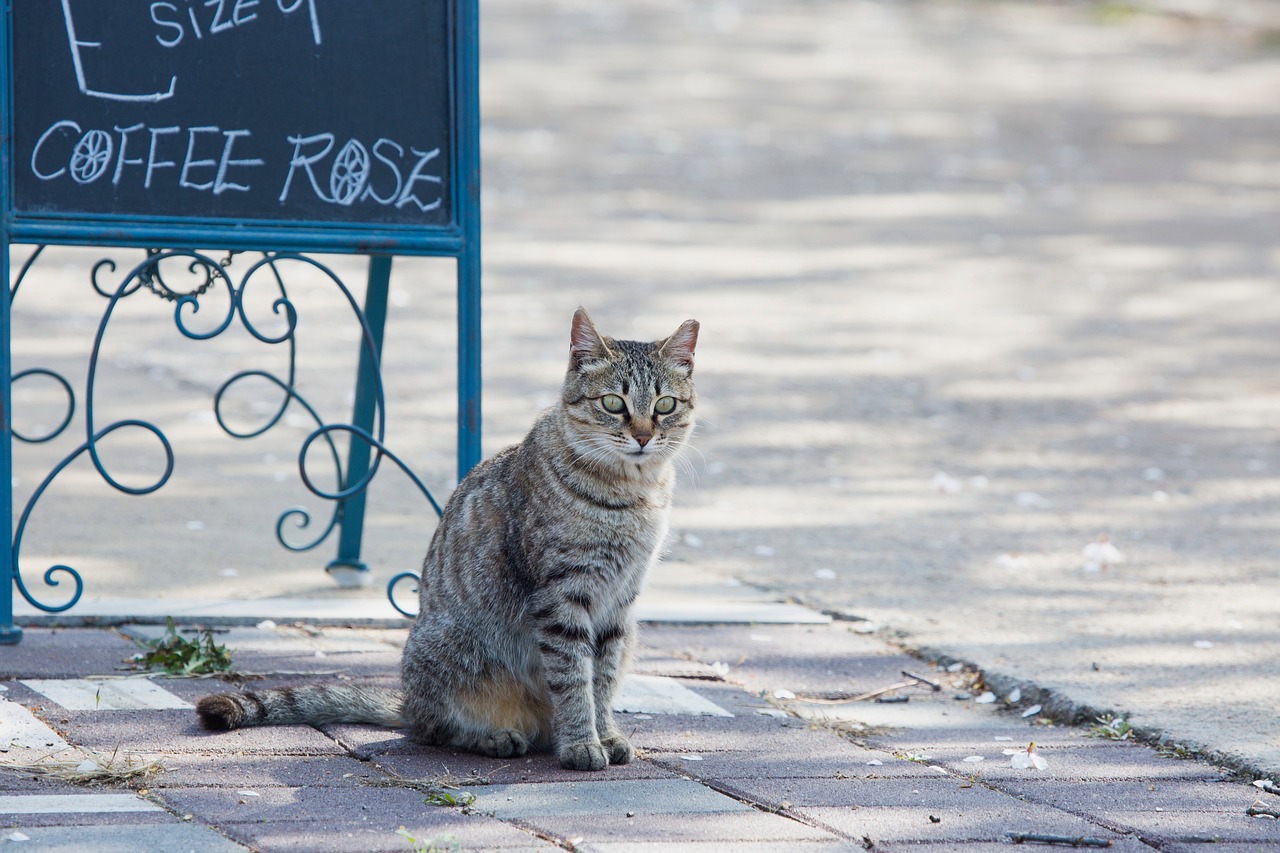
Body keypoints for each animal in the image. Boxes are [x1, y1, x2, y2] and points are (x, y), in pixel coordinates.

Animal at [197, 307, 701, 768]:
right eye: (614, 403)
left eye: (665, 405)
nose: (643, 436)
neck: (633, 494)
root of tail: (408, 701)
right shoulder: (563, 596)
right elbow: (575, 678)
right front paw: (582, 743)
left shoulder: (621, 603)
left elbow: (604, 678)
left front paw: (606, 734)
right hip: (451, 655)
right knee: (435, 729)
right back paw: (495, 736)